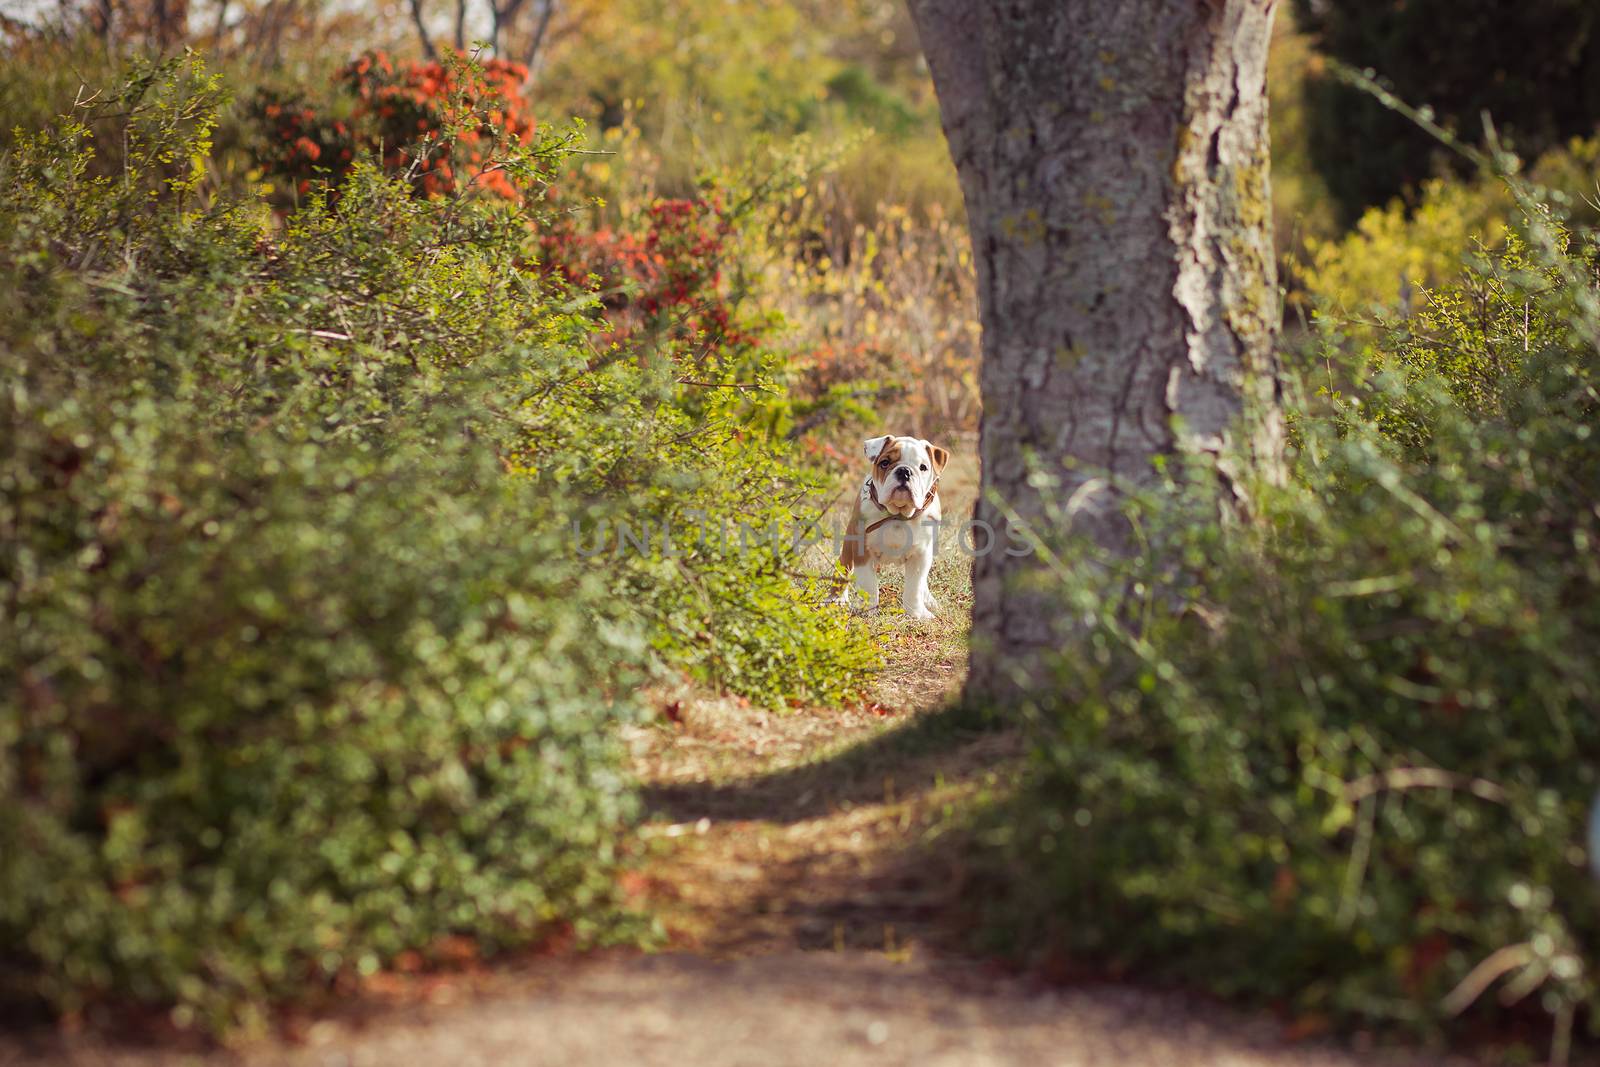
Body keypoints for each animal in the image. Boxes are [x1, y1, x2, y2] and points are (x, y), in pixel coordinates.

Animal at [838, 431, 947, 617]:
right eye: (885, 463)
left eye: (923, 467)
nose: (904, 471)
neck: (897, 515)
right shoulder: (862, 551)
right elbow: (868, 584)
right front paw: (868, 610)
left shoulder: (921, 555)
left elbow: (915, 587)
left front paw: (917, 614)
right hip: (848, 547)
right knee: (843, 569)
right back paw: (836, 599)